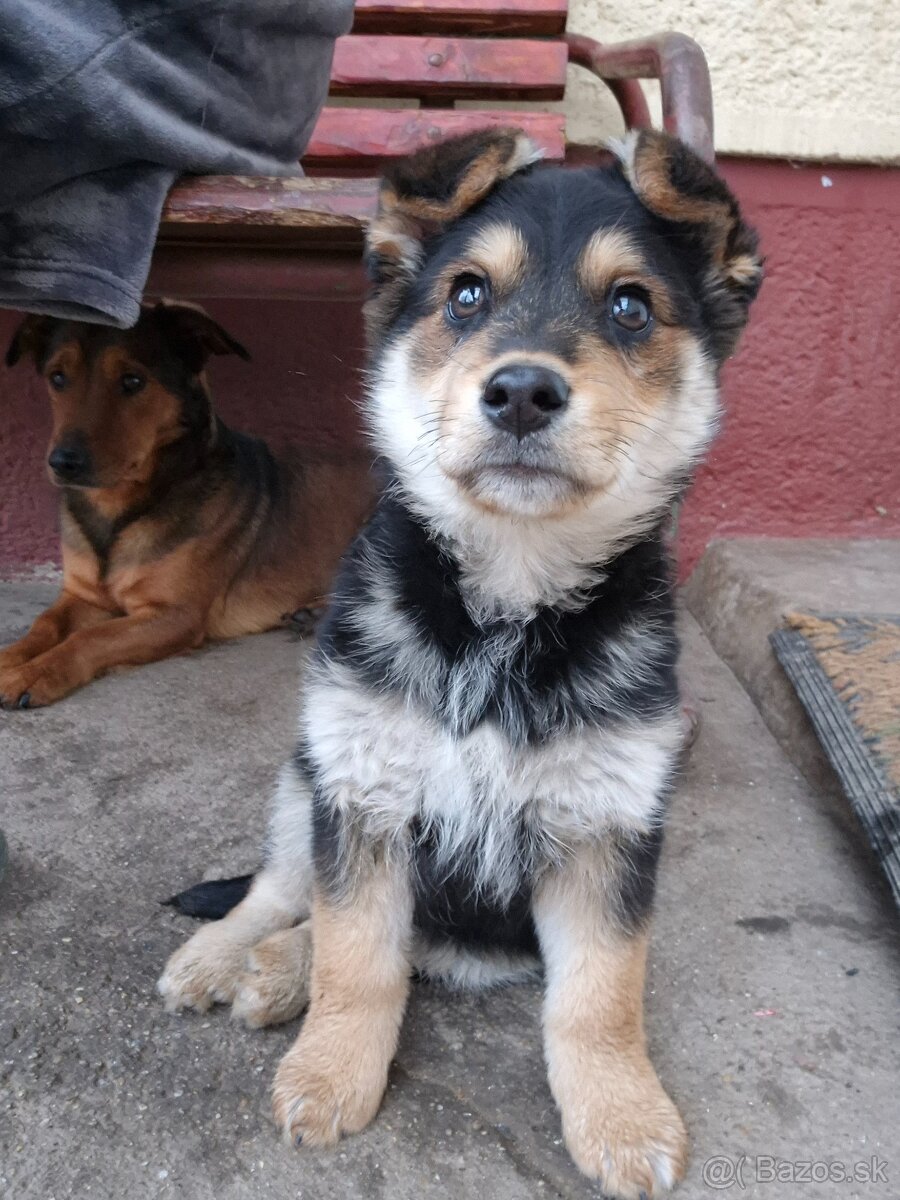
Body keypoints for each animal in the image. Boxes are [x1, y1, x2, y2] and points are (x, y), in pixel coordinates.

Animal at [1, 302, 373, 707]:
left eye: (133, 381)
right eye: (57, 378)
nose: (63, 463)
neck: (120, 510)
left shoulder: (175, 615)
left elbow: (91, 637)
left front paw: (37, 673)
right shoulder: (82, 596)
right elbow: (45, 623)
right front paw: (10, 657)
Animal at [157, 129, 762, 1198]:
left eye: (631, 306)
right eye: (469, 294)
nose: (521, 391)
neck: (506, 610)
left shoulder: (607, 827)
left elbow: (601, 996)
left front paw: (623, 1117)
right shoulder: (361, 788)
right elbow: (358, 958)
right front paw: (328, 1076)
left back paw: (276, 972)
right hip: (304, 775)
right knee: (279, 888)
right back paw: (225, 959)